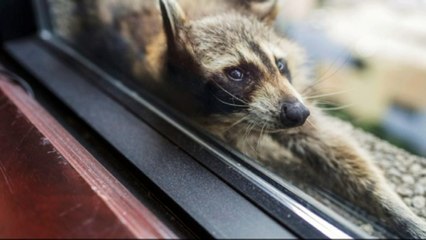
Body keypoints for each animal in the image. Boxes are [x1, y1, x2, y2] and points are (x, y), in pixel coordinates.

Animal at [66, 0, 426, 238]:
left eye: (280, 65)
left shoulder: (290, 96)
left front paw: (397, 209)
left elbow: (329, 142)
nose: (298, 113)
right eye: (237, 73)